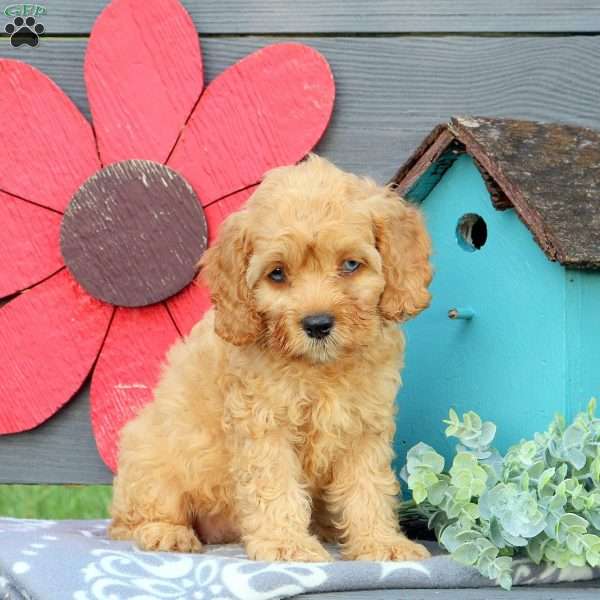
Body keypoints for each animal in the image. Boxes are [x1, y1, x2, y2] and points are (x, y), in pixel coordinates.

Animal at [109, 155, 432, 564]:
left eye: (350, 265)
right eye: (277, 274)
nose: (318, 324)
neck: (319, 369)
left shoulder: (364, 426)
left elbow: (368, 487)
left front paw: (380, 542)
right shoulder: (263, 423)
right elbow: (275, 485)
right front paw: (286, 544)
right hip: (152, 455)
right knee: (133, 518)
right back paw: (167, 533)